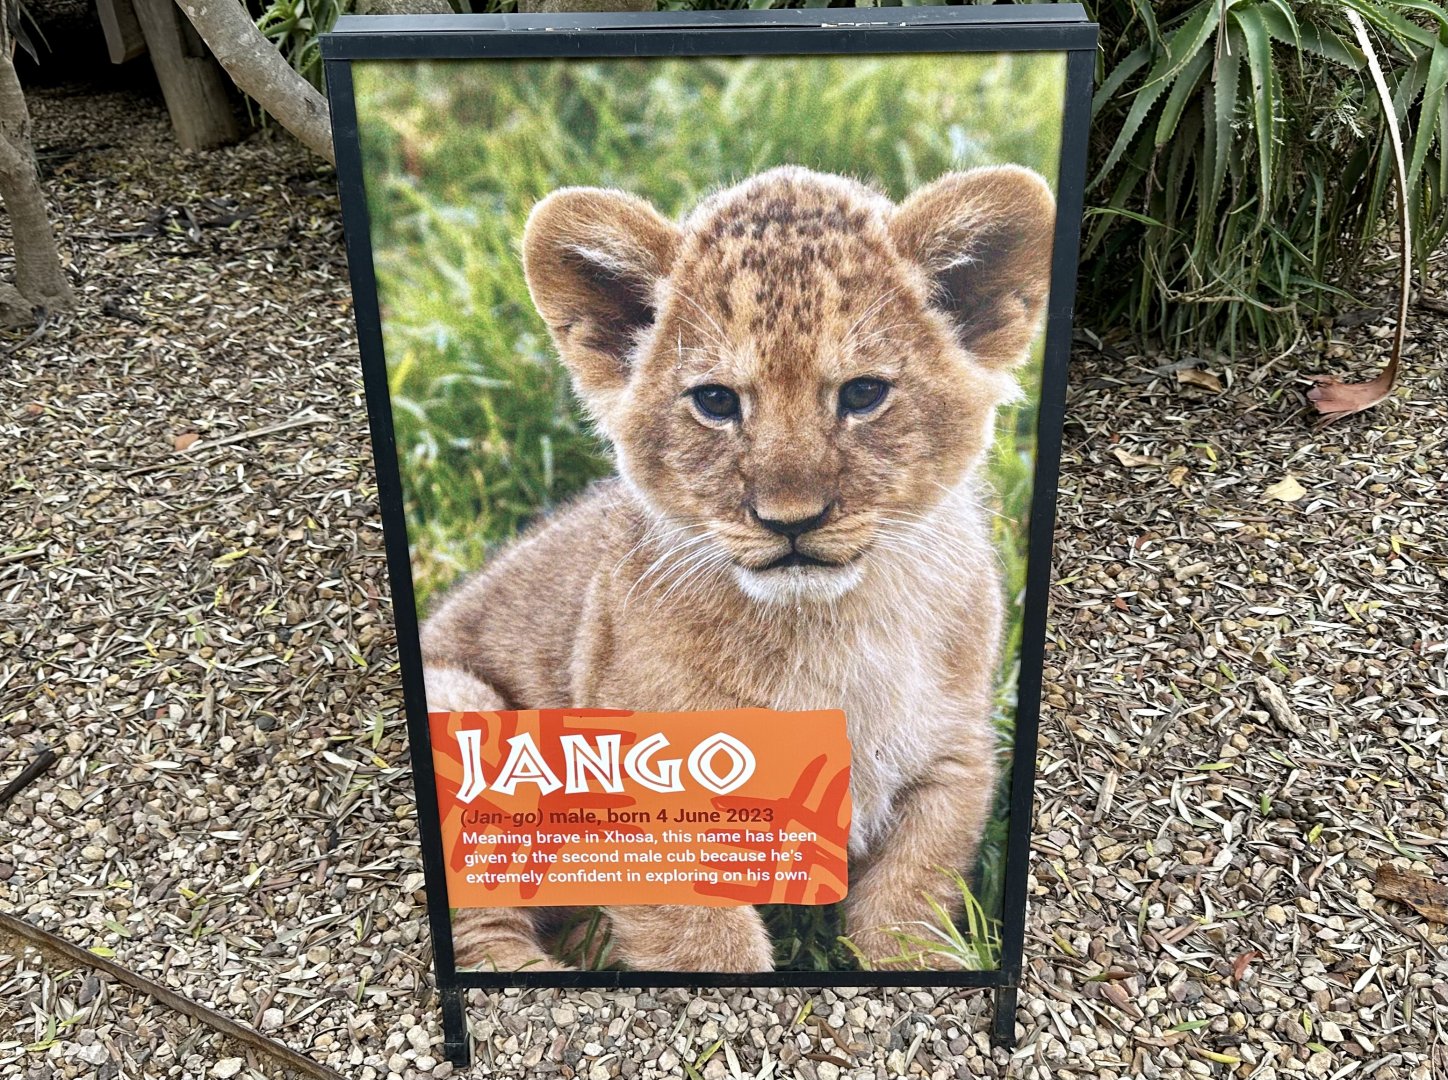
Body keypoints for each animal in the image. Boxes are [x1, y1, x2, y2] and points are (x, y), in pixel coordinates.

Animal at [420, 164, 1056, 972]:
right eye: (716, 401)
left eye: (863, 393)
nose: (790, 520)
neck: (828, 627)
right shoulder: (645, 793)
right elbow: (708, 950)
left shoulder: (951, 761)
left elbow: (909, 909)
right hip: (462, 700)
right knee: (480, 930)